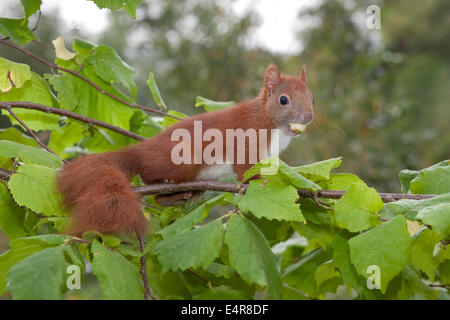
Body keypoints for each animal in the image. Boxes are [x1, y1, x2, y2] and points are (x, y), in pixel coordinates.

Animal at [58, 63, 314, 236]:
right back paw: (169, 188)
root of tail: (142, 150)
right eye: (283, 100)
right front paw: (255, 185)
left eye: (312, 98)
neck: (273, 124)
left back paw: (181, 197)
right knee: (152, 182)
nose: (309, 117)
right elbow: (245, 169)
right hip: (184, 161)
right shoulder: (246, 140)